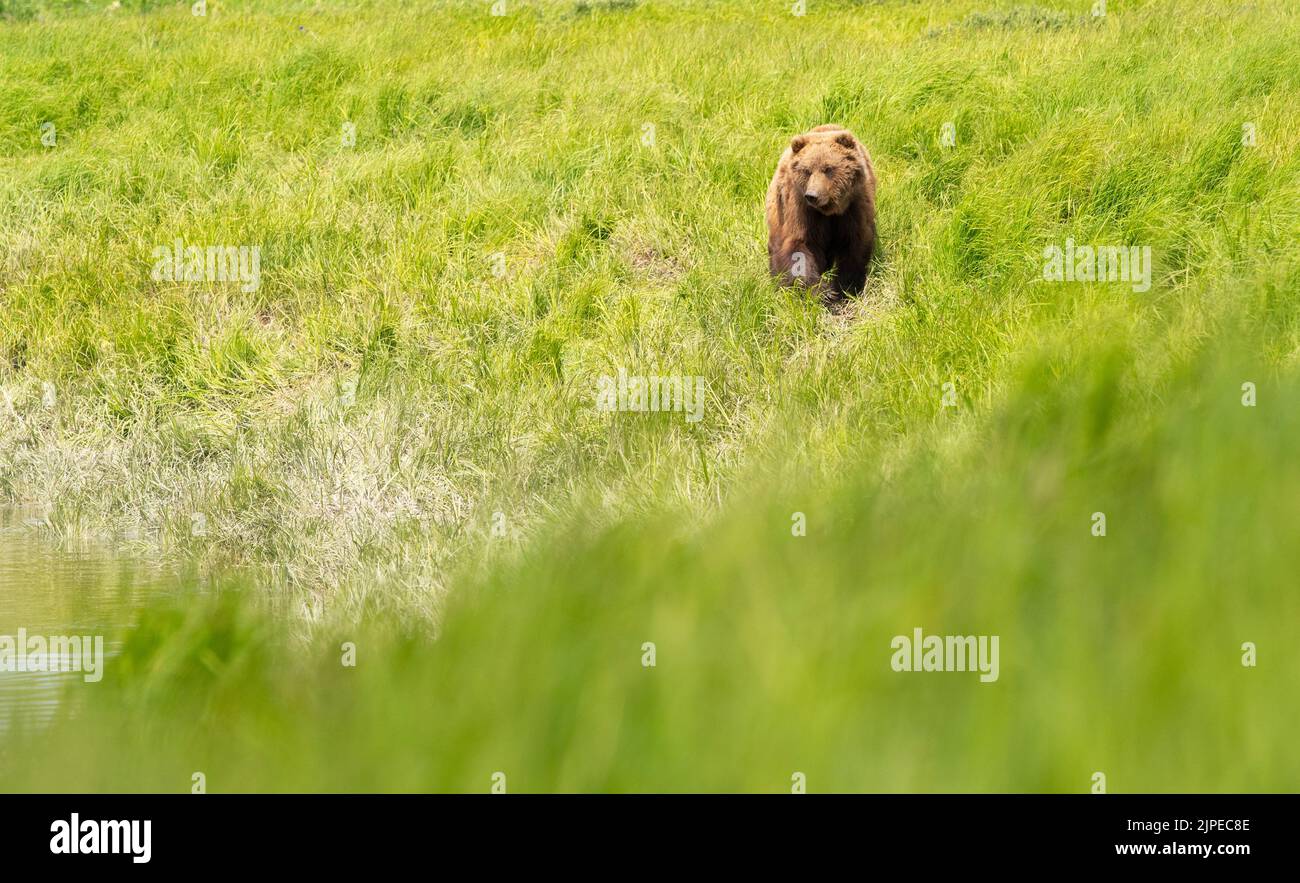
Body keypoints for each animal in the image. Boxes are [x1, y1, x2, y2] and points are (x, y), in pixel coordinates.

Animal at [765, 125, 877, 299]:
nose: (812, 195)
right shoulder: (802, 208)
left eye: (828, 168)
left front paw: (845, 288)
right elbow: (800, 247)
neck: (829, 210)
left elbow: (854, 245)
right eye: (807, 171)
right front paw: (820, 291)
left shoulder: (854, 206)